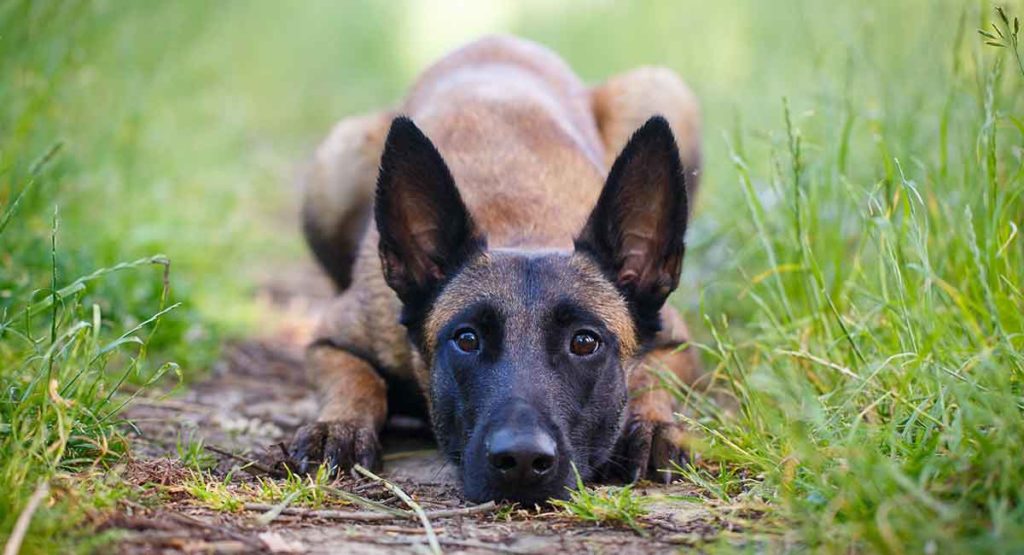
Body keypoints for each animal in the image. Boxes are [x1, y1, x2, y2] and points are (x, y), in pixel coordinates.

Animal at [292, 33, 700, 503]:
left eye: (584, 342)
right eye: (466, 339)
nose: (522, 460)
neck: (523, 233)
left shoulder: (677, 341)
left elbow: (653, 377)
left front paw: (652, 425)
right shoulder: (331, 340)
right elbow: (357, 380)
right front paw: (339, 423)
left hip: (659, 86)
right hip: (335, 167)